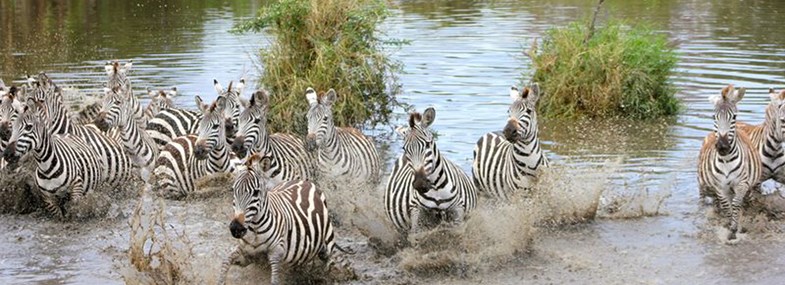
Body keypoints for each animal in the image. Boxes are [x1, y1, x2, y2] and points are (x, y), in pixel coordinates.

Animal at [217, 153, 340, 284]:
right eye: (233, 190)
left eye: (256, 192)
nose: (236, 228)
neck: (255, 229)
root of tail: (304, 181)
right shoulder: (247, 254)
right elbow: (225, 261)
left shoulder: (276, 253)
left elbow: (274, 280)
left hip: (326, 245)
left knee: (327, 265)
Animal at [700, 84, 760, 242]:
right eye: (714, 117)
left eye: (734, 117)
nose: (722, 147)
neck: (726, 160)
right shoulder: (719, 187)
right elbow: (727, 207)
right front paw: (730, 226)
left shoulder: (742, 184)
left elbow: (736, 205)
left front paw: (734, 228)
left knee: (743, 203)